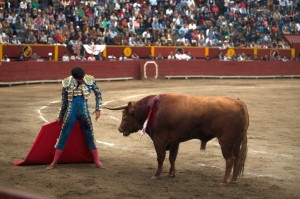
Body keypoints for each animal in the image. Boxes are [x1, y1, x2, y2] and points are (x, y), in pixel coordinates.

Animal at [104, 94, 250, 183]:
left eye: (124, 115)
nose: (120, 129)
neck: (153, 109)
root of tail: (238, 101)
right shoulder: (175, 141)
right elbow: (172, 157)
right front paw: (171, 174)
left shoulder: (159, 140)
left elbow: (160, 157)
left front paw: (157, 175)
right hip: (236, 142)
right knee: (237, 159)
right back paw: (234, 180)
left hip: (226, 141)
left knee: (230, 159)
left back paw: (225, 181)